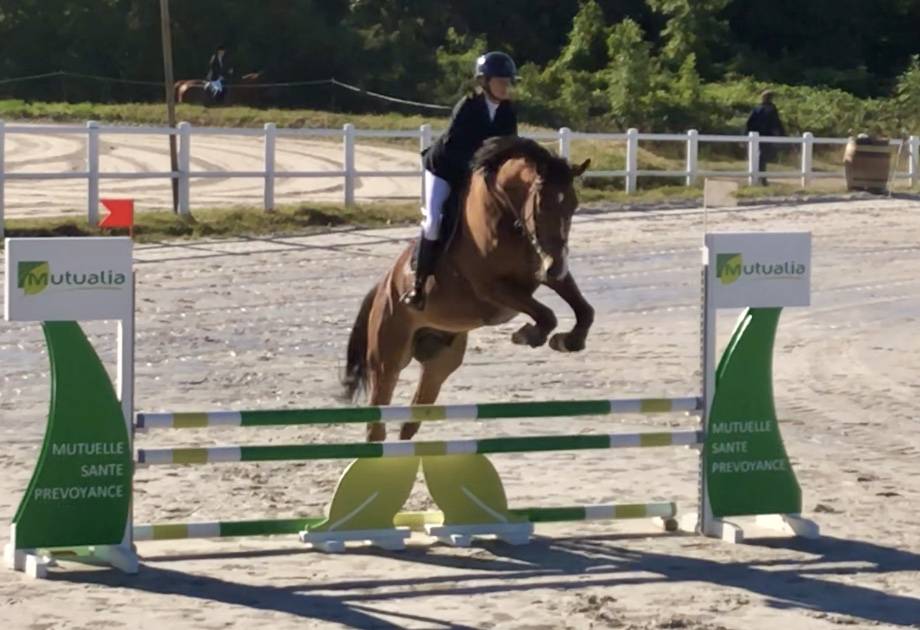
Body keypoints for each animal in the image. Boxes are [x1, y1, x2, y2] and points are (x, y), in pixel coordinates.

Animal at [343, 136, 594, 442]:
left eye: (573, 205)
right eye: (541, 205)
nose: (555, 265)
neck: (508, 214)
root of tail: (382, 286)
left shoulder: (544, 274)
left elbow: (584, 309)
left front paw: (568, 341)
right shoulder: (492, 289)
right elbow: (547, 315)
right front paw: (528, 335)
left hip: (440, 362)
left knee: (412, 419)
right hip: (388, 358)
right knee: (377, 420)